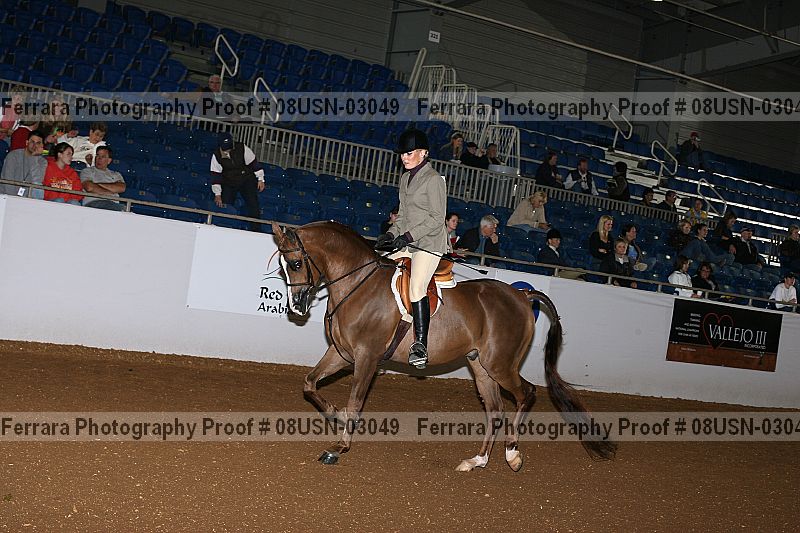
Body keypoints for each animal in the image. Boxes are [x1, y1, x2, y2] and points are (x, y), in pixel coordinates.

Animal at [272, 221, 616, 471]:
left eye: (297, 263)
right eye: (284, 267)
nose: (297, 306)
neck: (358, 285)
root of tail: (521, 295)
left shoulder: (366, 357)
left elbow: (356, 401)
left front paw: (339, 446)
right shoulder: (342, 354)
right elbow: (310, 383)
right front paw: (336, 415)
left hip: (500, 363)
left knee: (526, 394)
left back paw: (512, 454)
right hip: (480, 365)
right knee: (495, 409)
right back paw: (477, 460)